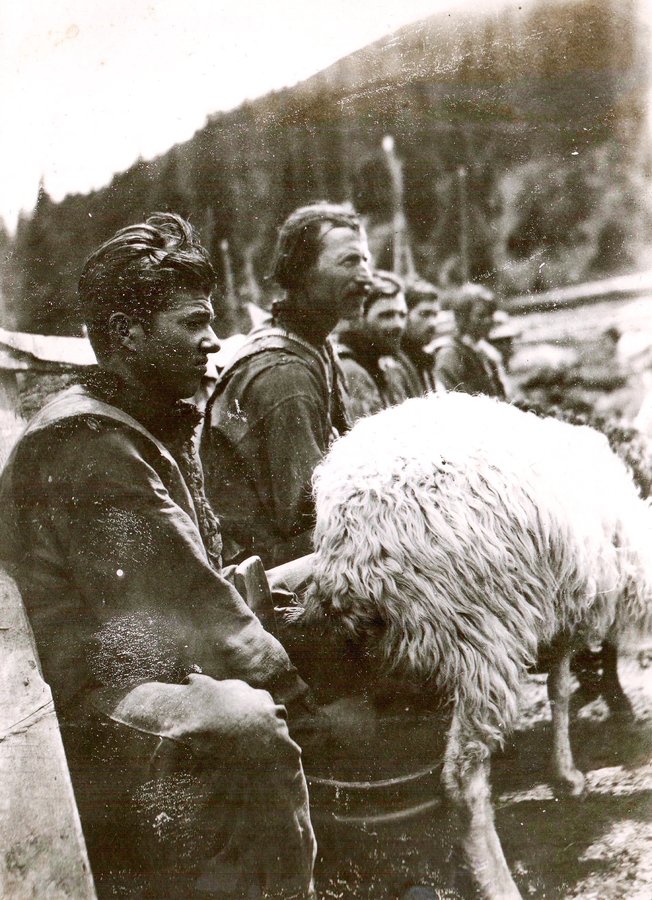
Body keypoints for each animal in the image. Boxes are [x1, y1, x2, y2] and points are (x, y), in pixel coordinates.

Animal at [300, 394, 652, 900]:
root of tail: (358, 545)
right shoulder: (567, 609)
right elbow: (561, 691)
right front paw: (568, 774)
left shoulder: (556, 612)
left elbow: (558, 688)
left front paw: (563, 772)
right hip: (484, 639)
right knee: (462, 782)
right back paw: (495, 880)